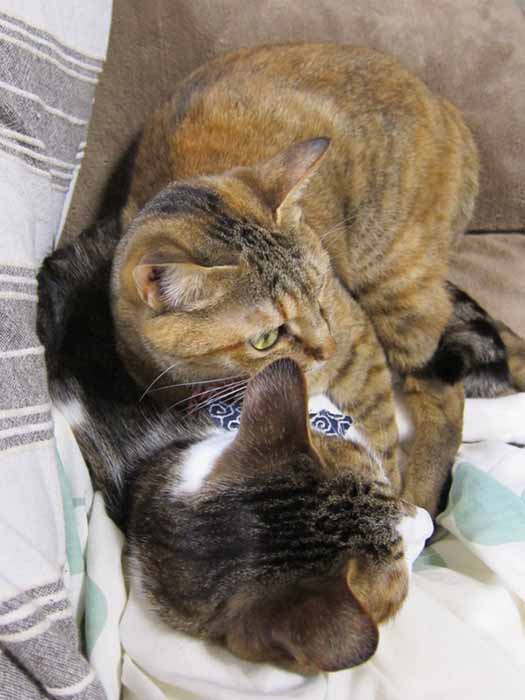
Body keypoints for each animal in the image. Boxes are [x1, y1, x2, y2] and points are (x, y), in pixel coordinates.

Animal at [110, 43, 480, 513]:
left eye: (319, 291)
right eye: (265, 338)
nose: (327, 350)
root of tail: (443, 104)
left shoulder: (359, 342)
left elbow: (381, 439)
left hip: (397, 282)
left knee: (445, 399)